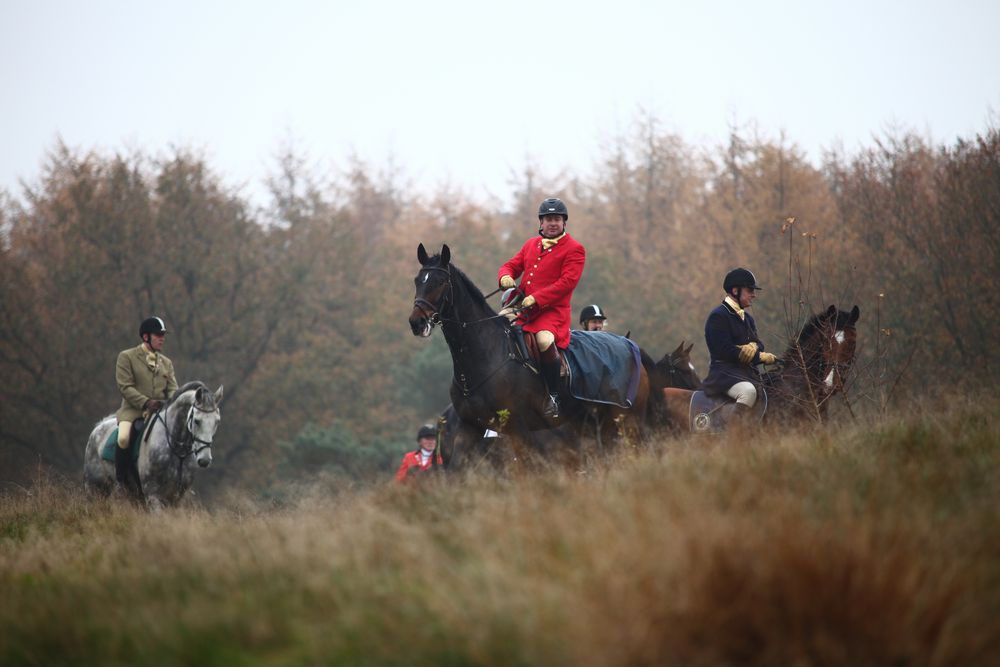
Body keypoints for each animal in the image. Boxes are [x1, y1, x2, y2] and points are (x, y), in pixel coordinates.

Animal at [85, 380, 224, 512]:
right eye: (197, 421)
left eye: (217, 421)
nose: (205, 460)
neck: (177, 451)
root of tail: (99, 426)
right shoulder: (154, 495)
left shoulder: (176, 499)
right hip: (95, 489)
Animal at [410, 243, 652, 468]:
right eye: (417, 281)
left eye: (441, 282)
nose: (417, 322)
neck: (484, 355)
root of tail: (630, 345)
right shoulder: (470, 427)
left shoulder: (518, 428)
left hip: (626, 422)